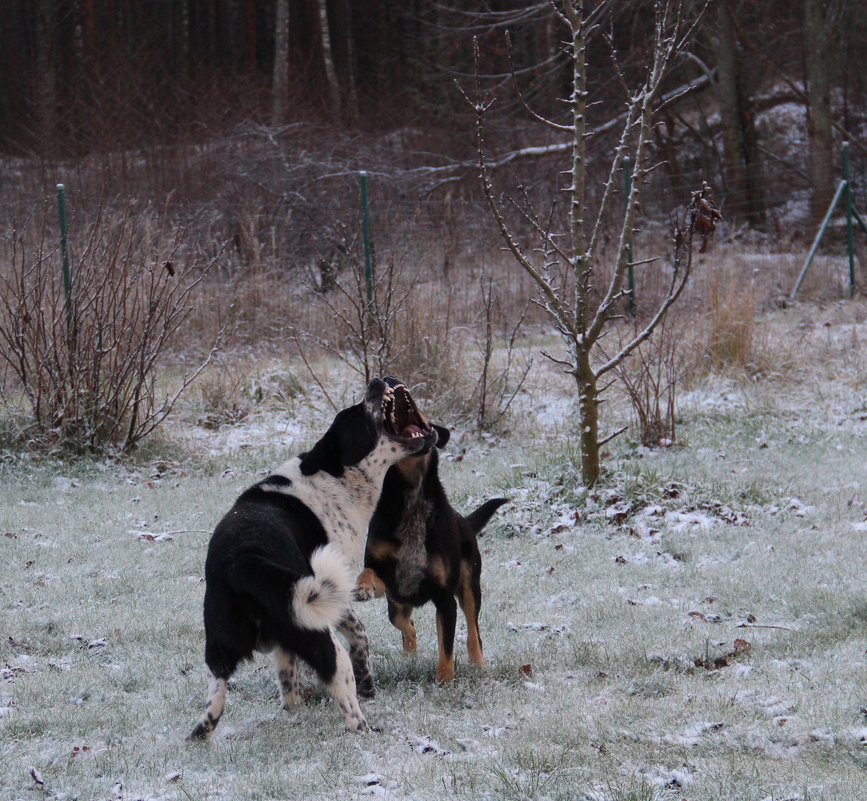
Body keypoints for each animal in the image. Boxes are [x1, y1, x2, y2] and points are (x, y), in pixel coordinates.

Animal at [187, 378, 438, 740]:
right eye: (357, 415)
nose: (379, 381)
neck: (335, 474)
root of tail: (242, 561)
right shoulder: (337, 592)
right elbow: (360, 634)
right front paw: (368, 684)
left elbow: (289, 676)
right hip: (321, 634)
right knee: (348, 702)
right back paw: (368, 729)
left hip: (221, 644)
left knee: (216, 702)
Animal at [354, 378, 508, 680]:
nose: (389, 379)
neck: (411, 492)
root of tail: (465, 521)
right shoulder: (390, 581)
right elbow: (368, 571)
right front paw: (362, 586)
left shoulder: (445, 598)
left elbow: (446, 647)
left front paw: (445, 682)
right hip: (397, 604)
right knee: (407, 626)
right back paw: (409, 657)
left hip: (470, 583)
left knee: (474, 632)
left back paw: (478, 665)